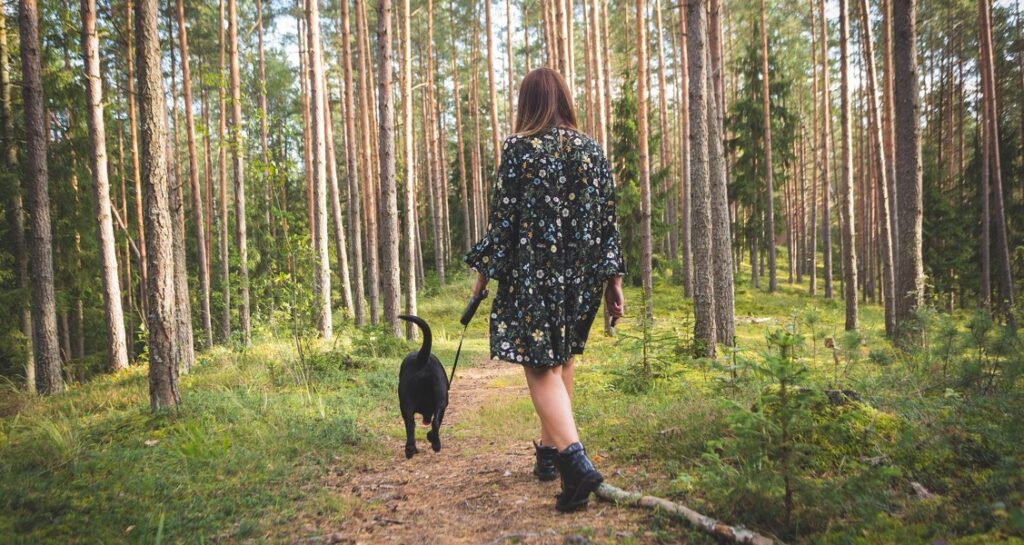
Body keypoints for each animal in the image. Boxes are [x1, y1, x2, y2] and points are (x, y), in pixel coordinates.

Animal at [399, 315, 448, 458]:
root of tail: (421, 359)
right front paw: (430, 437)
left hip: (406, 405)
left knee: (410, 425)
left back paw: (411, 449)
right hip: (441, 401)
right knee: (435, 423)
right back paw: (435, 444)